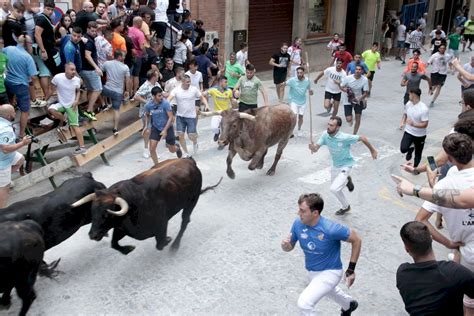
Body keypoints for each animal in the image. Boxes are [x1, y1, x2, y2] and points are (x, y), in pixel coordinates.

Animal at [71, 158, 222, 254]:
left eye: (107, 214)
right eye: (92, 212)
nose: (93, 235)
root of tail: (189, 160)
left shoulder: (161, 225)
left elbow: (159, 244)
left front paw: (168, 240)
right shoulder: (121, 228)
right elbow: (114, 244)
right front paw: (128, 249)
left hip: (192, 201)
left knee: (185, 221)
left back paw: (175, 246)